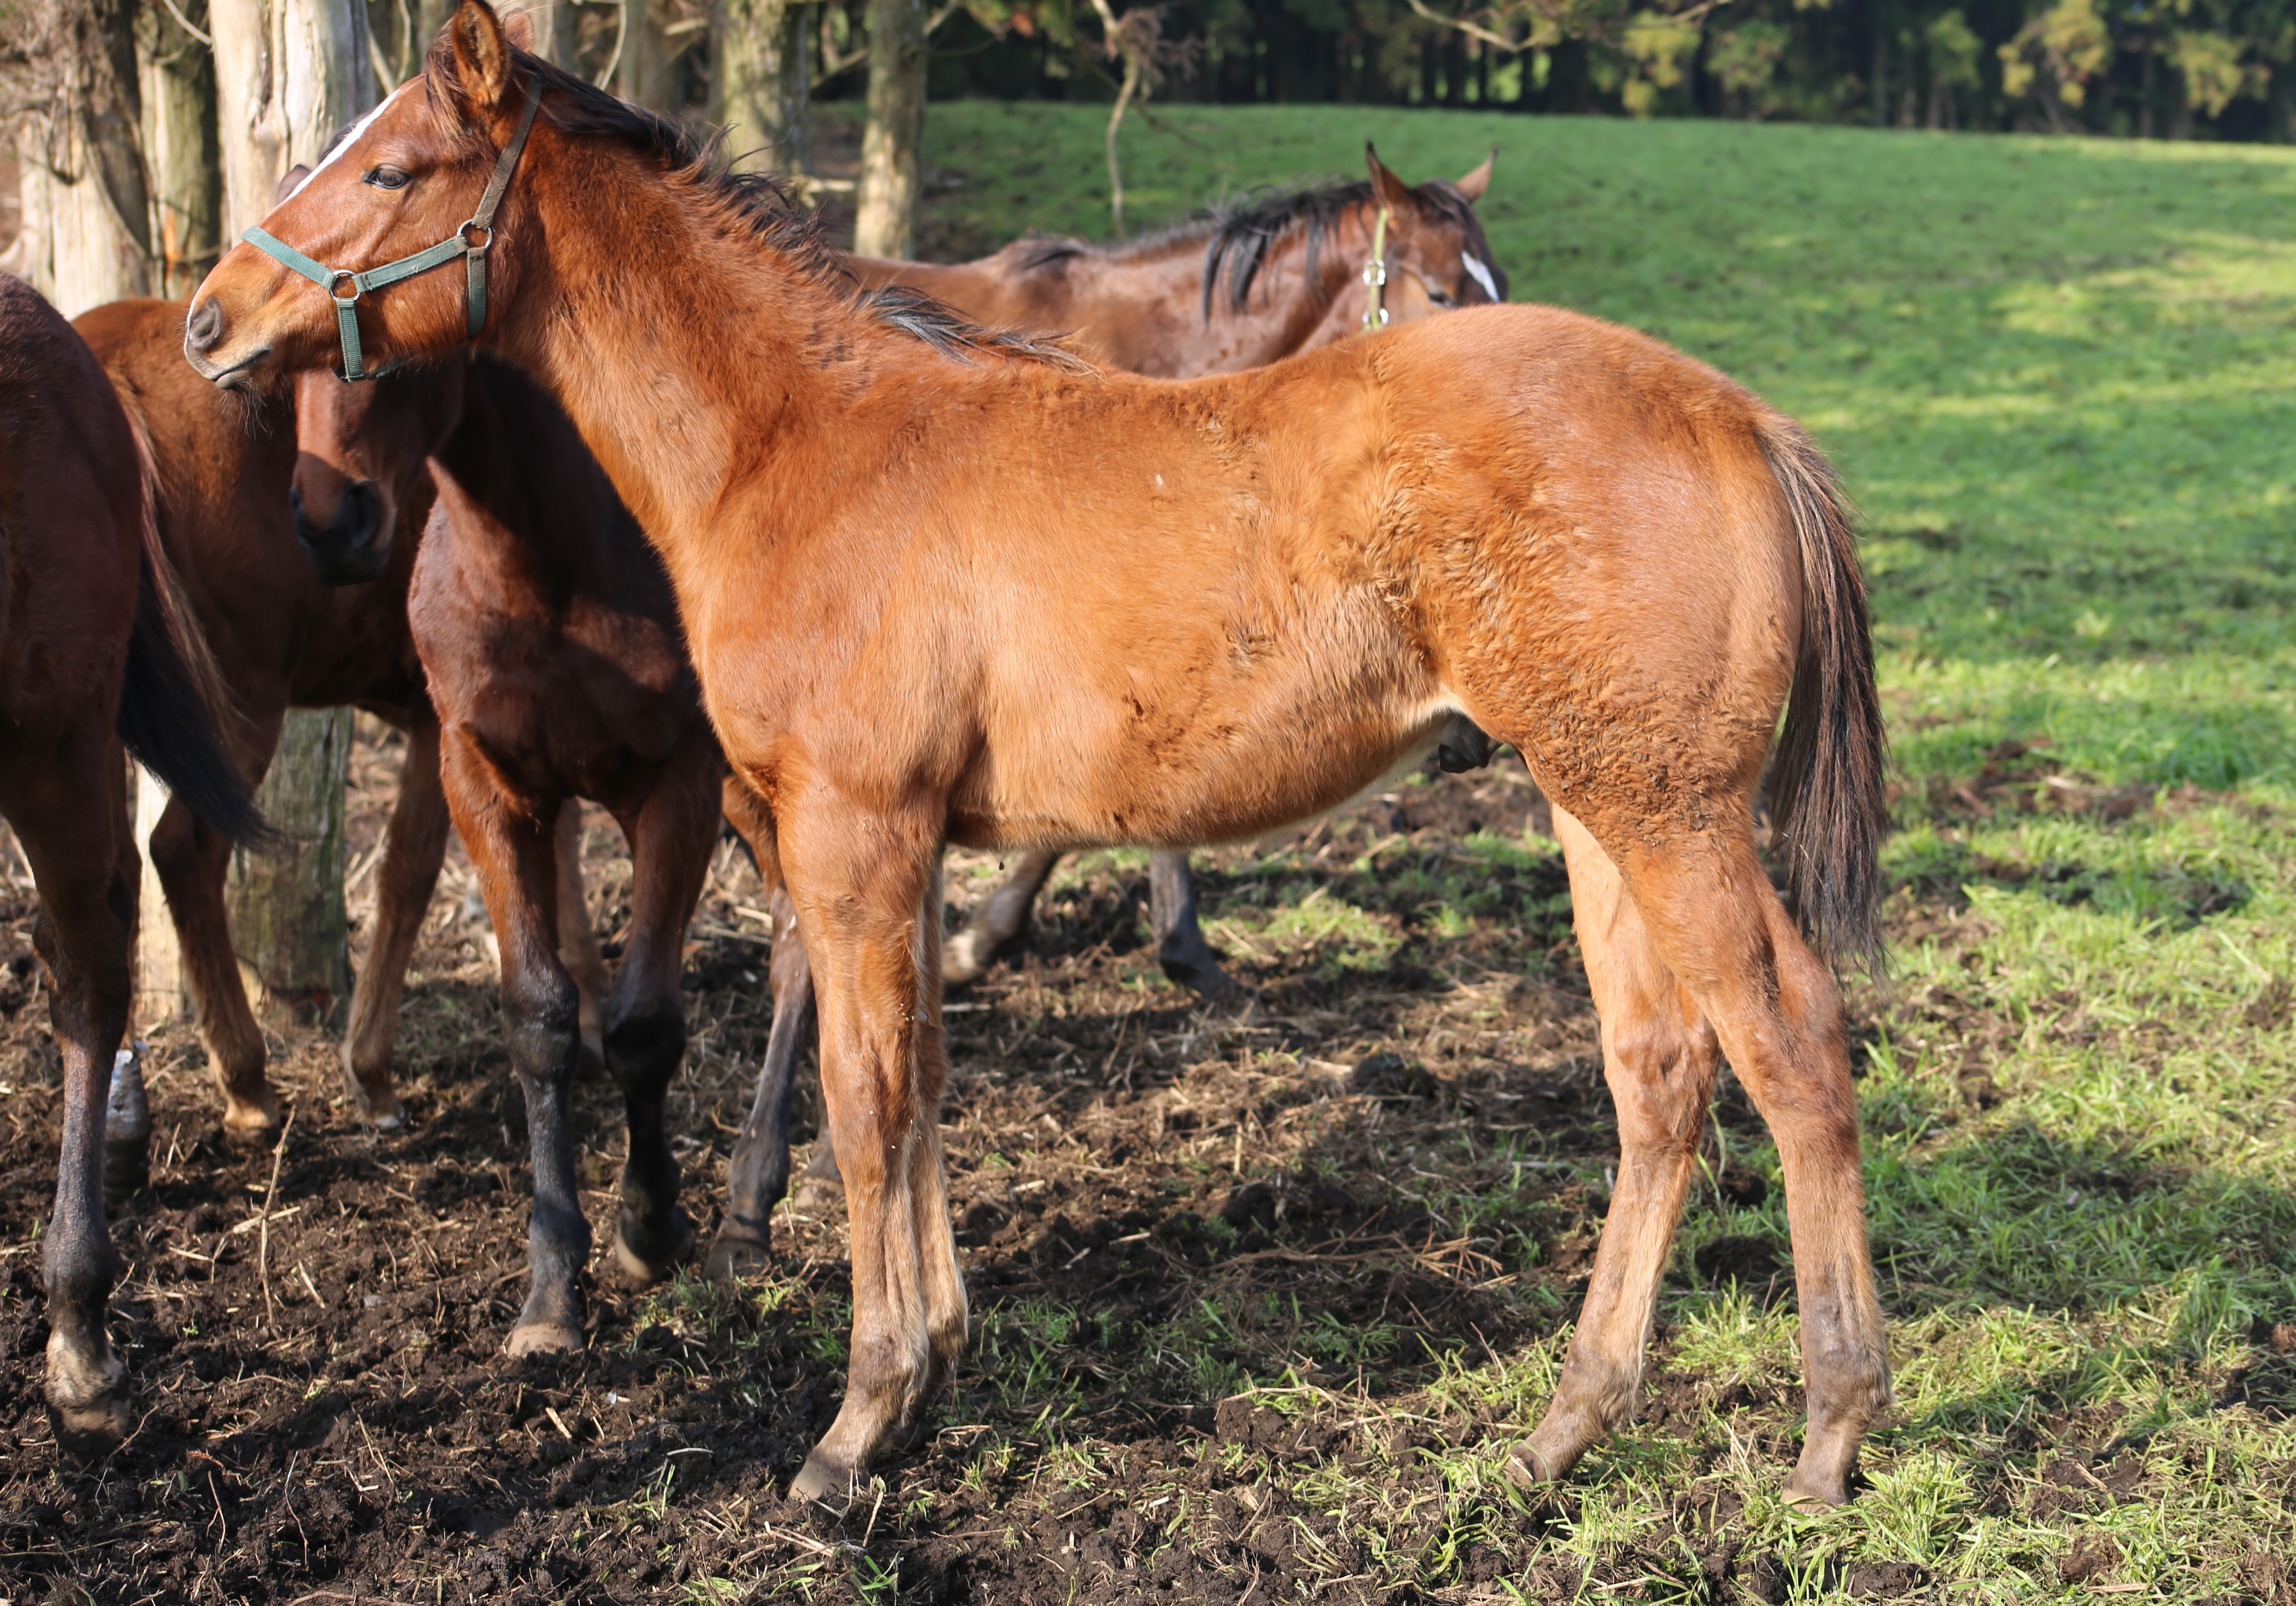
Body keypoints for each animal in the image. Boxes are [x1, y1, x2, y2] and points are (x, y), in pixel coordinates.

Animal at [193, 6, 1882, 1514]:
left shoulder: (854, 832)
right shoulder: (898, 841)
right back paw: (1562, 1429)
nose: (211, 316)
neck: (796, 443)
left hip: (1668, 815)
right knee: (1656, 1070)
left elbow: (864, 1095)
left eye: (392, 168)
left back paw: (1828, 1433)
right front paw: (933, 1361)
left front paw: (854, 1427)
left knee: (1790, 1048)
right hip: (1594, 806)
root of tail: (1738, 420)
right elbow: (925, 1076)